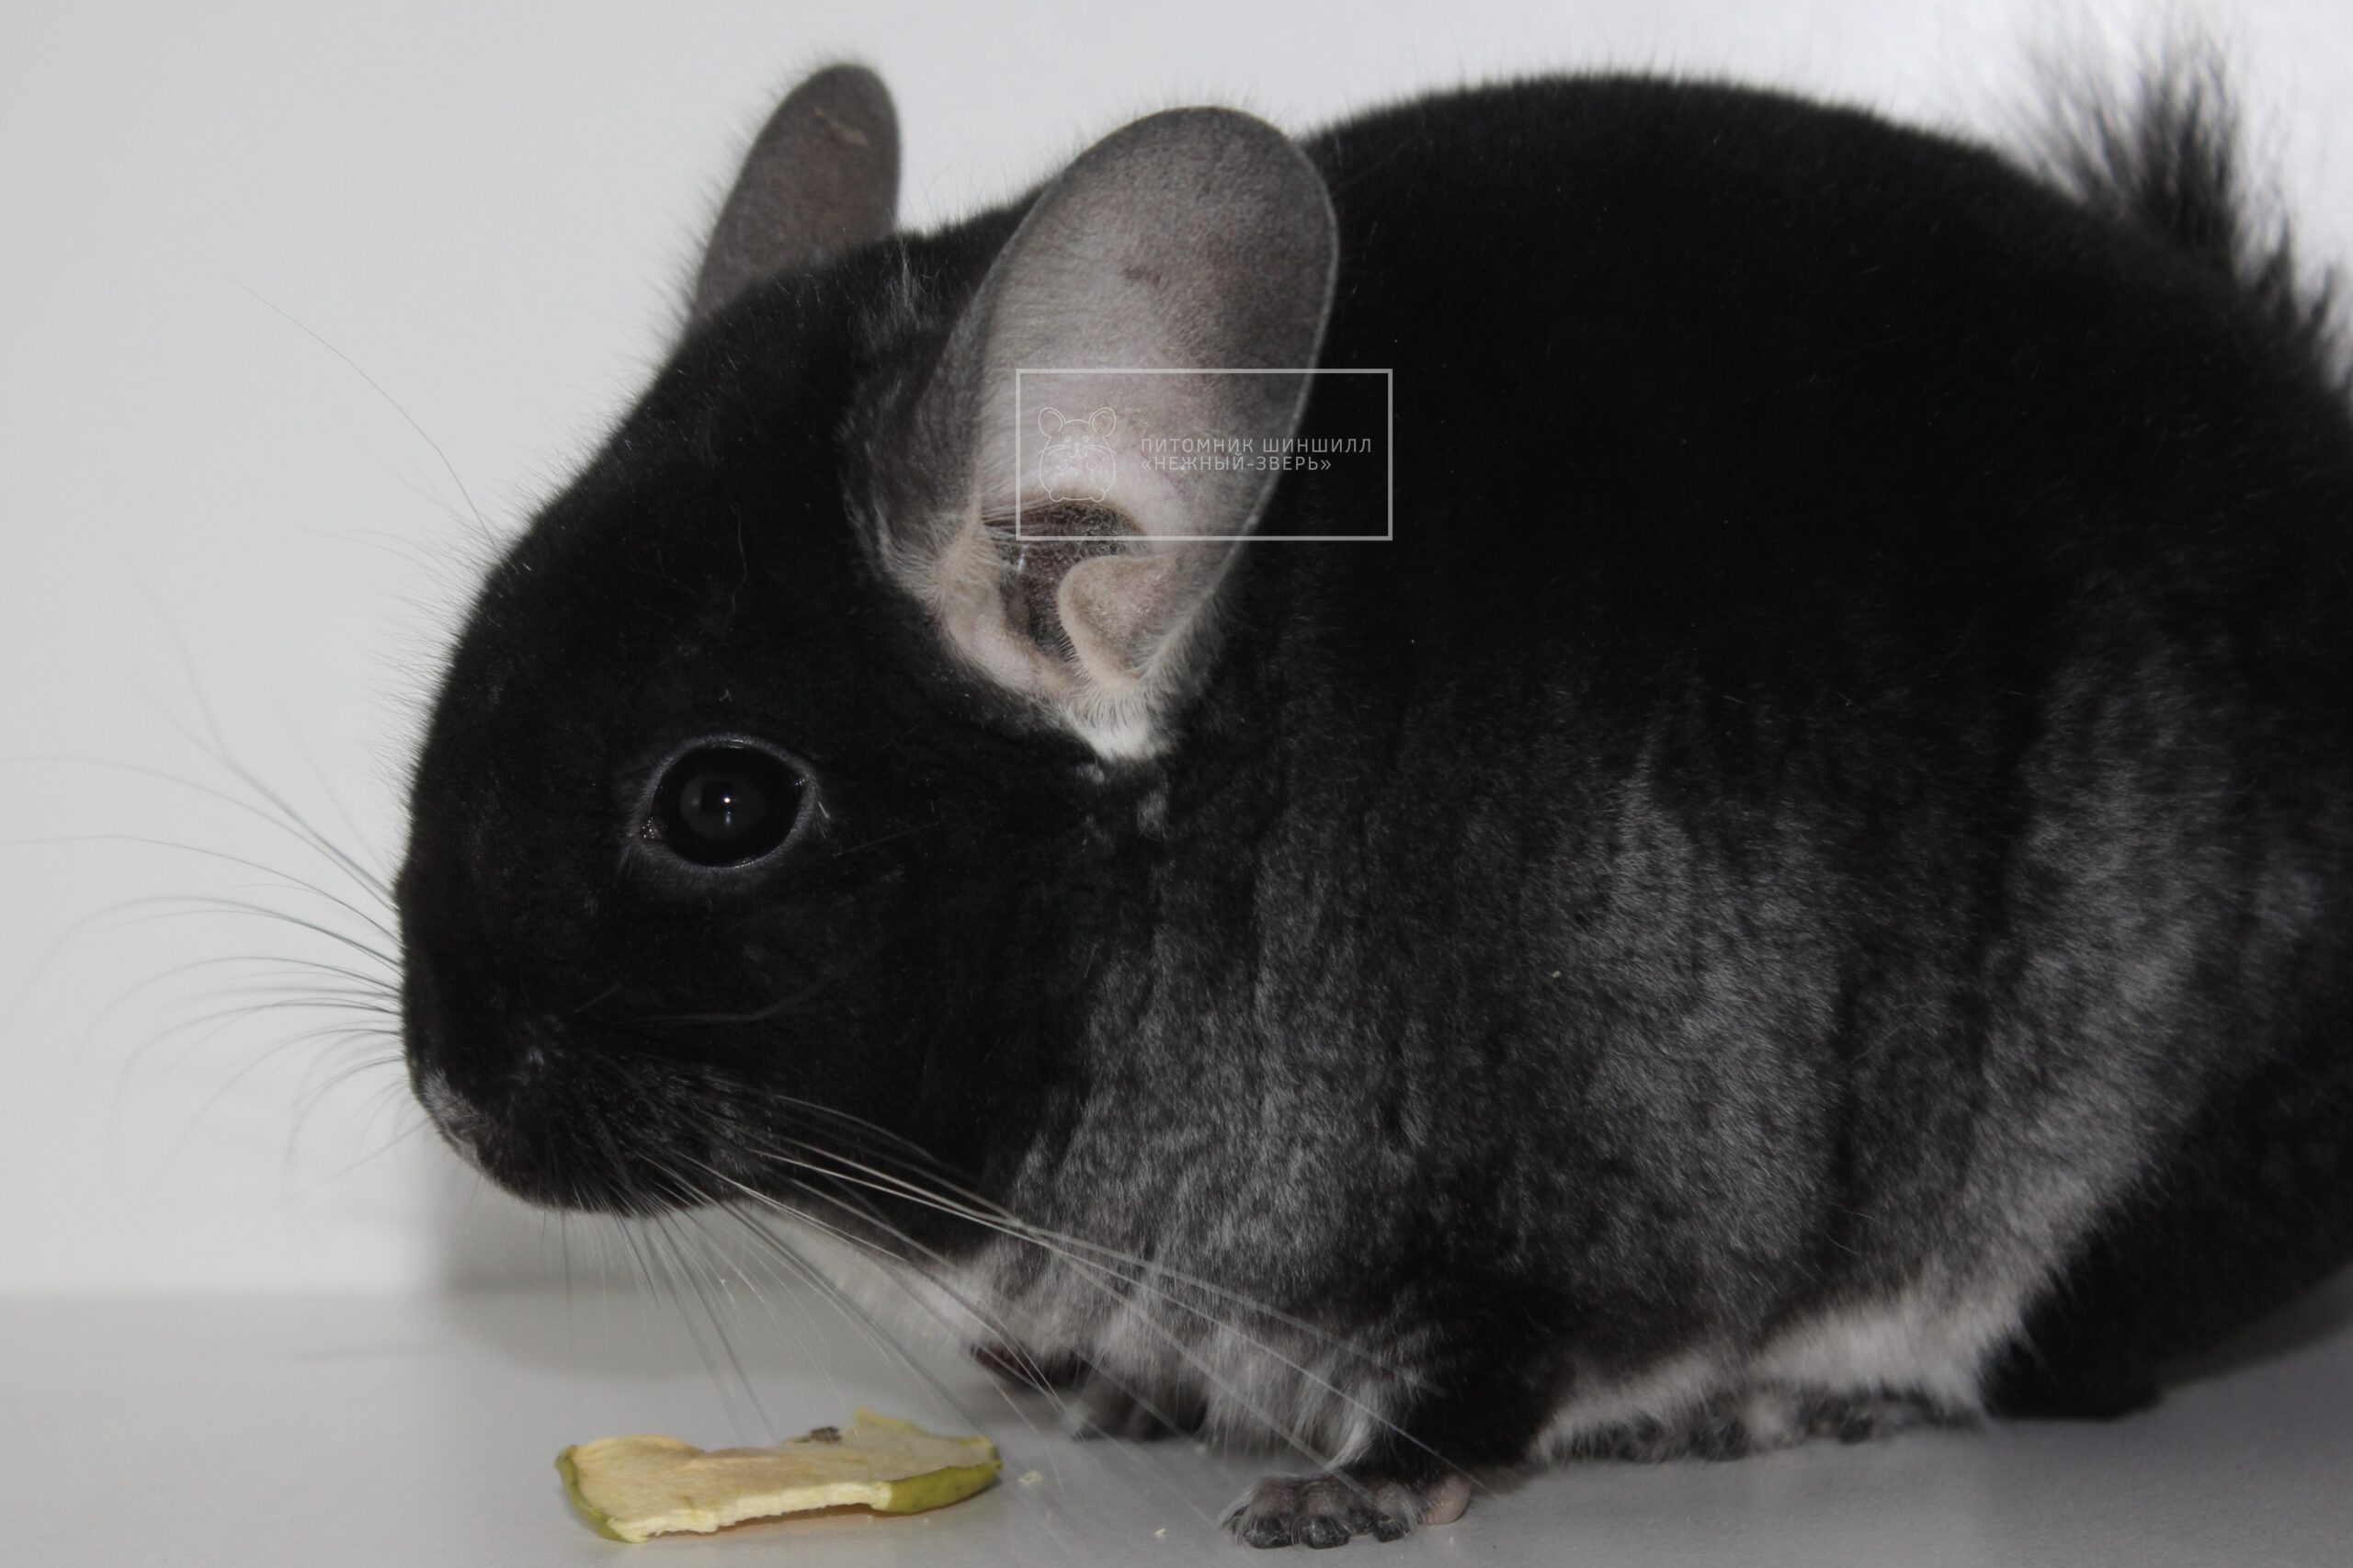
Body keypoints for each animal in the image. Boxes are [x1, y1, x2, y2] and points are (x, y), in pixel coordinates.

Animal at [398, 57, 2353, 1549]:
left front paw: (1342, 1499)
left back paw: (1780, 1401)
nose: (446, 1089)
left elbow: (1486, 1379)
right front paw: (1124, 1396)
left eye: (723, 806)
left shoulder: (1575, 1198)